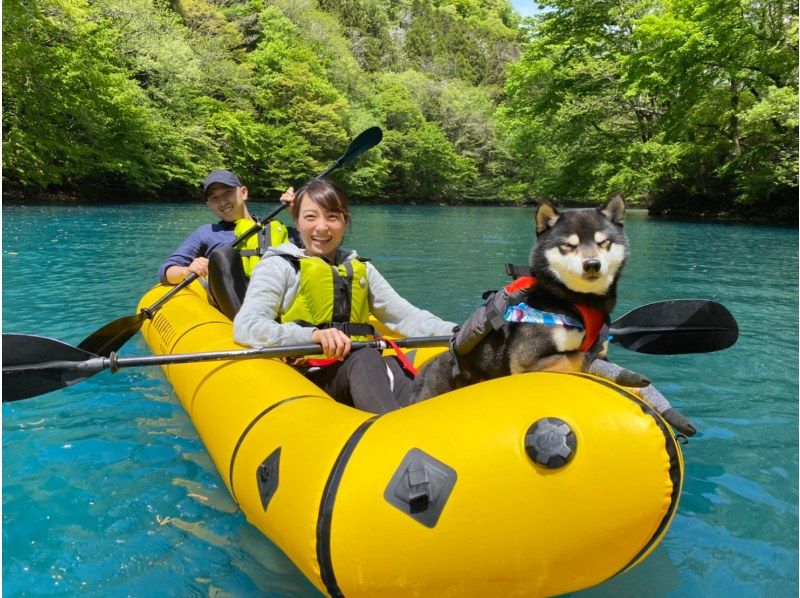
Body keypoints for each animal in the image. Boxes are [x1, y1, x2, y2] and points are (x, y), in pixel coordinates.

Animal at [412, 196, 692, 436]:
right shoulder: (525, 360)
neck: (575, 302)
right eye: (569, 245)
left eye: (604, 243)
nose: (592, 264)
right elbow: (576, 356)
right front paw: (632, 377)